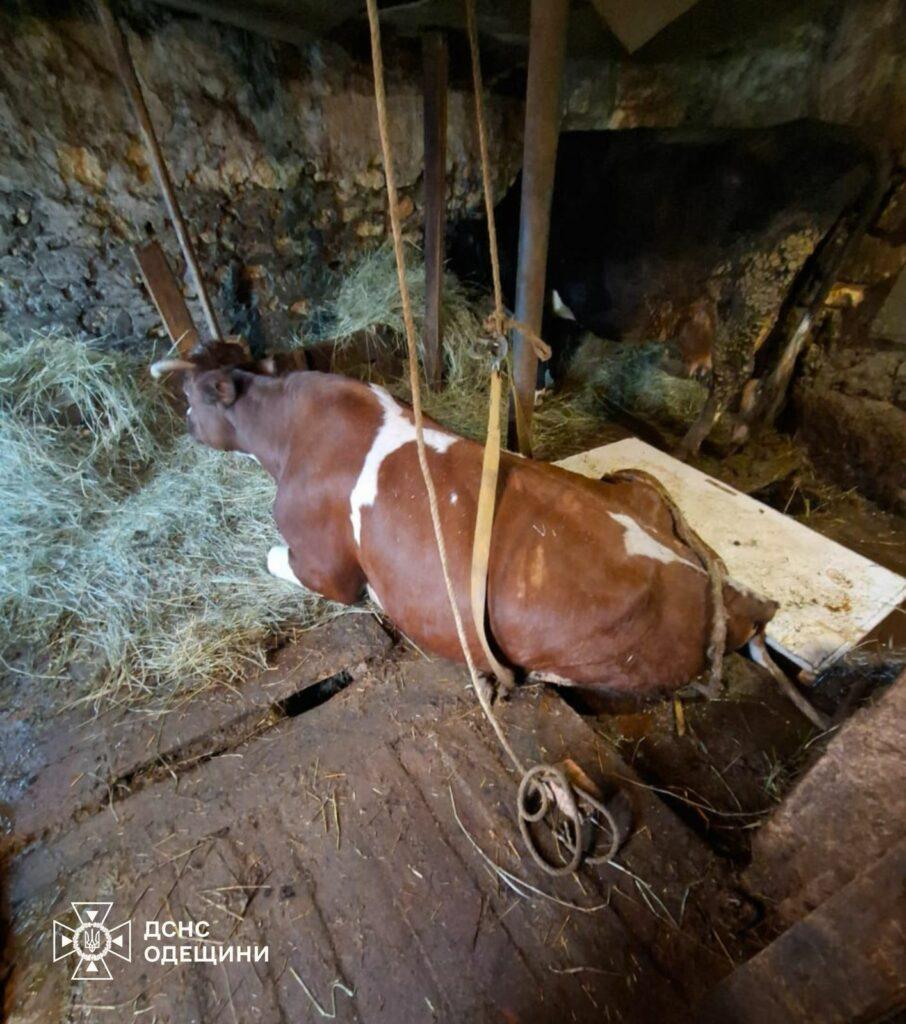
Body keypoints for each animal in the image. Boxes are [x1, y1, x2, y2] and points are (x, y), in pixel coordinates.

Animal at [157, 356, 778, 700]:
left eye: (188, 397)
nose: (181, 422)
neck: (288, 434)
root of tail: (731, 595)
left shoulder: (326, 567)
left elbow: (276, 558)